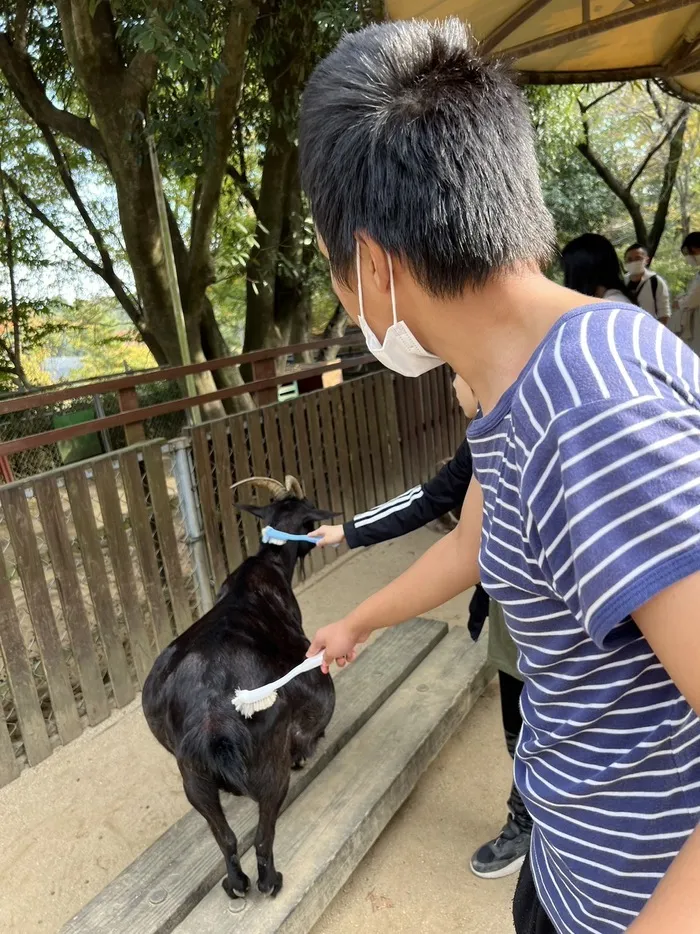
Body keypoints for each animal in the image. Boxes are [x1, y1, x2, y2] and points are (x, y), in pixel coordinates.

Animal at [142, 478, 336, 904]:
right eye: (310, 511)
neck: (269, 564)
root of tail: (214, 707)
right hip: (270, 764)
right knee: (264, 835)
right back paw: (269, 881)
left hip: (191, 775)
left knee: (227, 838)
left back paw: (235, 884)